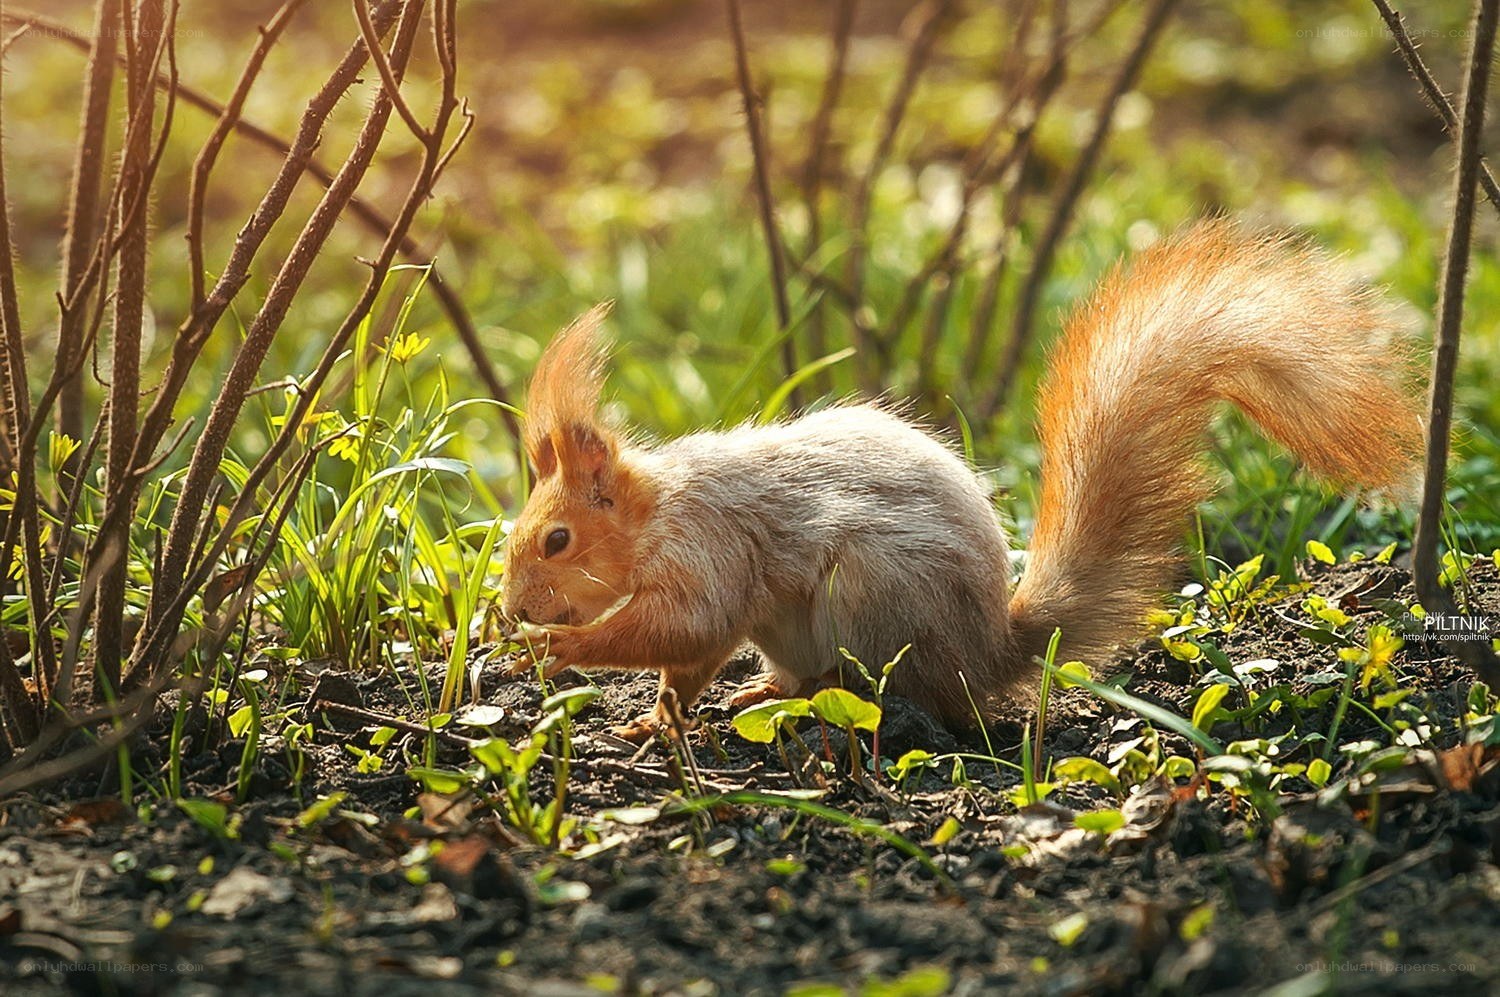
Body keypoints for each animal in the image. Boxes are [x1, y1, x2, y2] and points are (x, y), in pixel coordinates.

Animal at [500, 220, 1422, 741]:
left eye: (558, 538)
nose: (513, 610)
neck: (657, 509)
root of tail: (985, 653)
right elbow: (687, 661)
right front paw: (655, 716)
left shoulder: (708, 548)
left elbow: (687, 626)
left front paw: (562, 649)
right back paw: (769, 688)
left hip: (870, 601)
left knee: (899, 694)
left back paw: (829, 698)